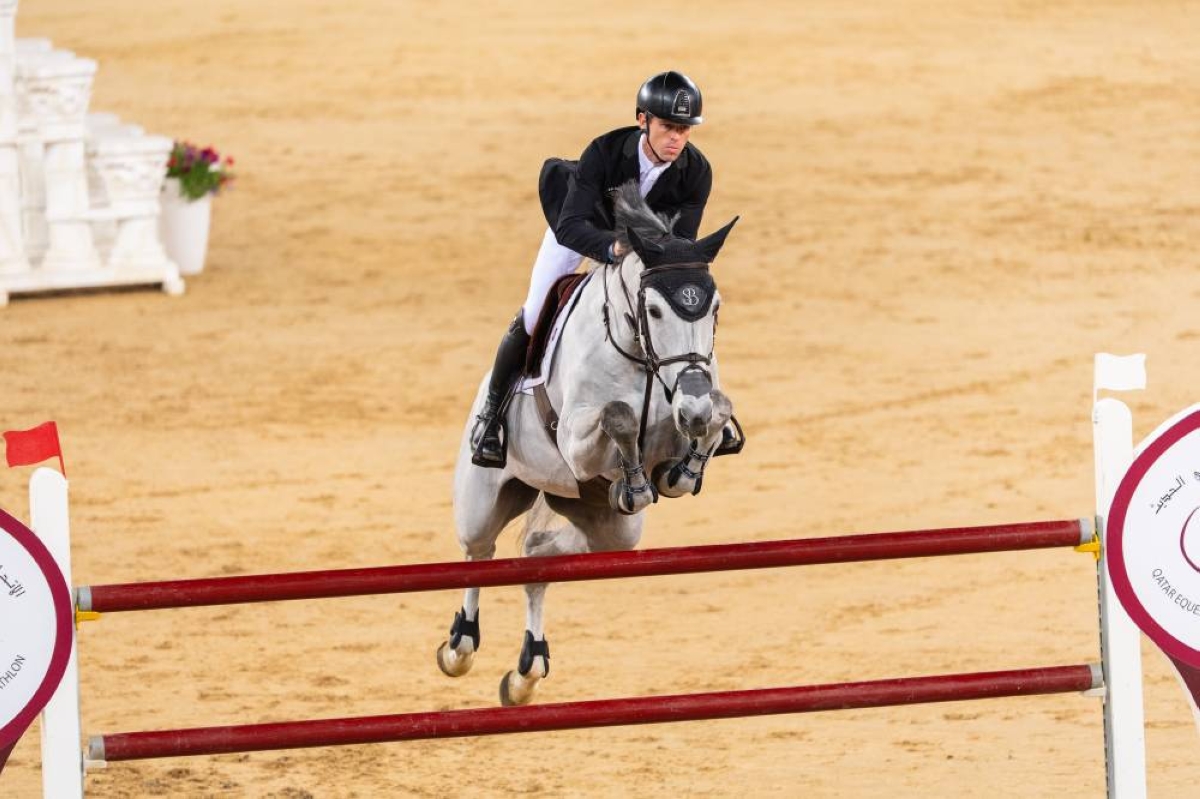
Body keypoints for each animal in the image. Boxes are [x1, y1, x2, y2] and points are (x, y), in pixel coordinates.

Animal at [439, 182, 739, 705]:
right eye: (654, 310)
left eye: (715, 307)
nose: (692, 410)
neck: (643, 356)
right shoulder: (577, 444)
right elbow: (618, 415)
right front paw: (635, 482)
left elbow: (716, 413)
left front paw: (680, 470)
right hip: (484, 500)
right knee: (480, 554)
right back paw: (460, 645)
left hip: (610, 529)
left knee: (537, 554)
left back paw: (527, 669)